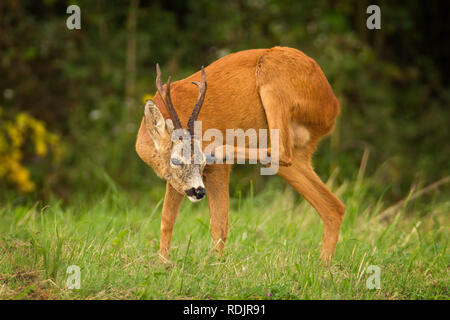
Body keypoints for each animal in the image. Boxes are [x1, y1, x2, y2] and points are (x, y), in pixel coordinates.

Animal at [135, 46, 346, 264]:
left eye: (201, 162)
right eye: (176, 159)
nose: (199, 192)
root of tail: (333, 105)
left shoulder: (216, 170)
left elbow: (219, 224)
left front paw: (215, 265)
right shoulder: (175, 181)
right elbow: (166, 220)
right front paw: (163, 264)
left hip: (272, 78)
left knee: (281, 150)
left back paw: (219, 149)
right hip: (297, 155)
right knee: (334, 207)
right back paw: (324, 265)